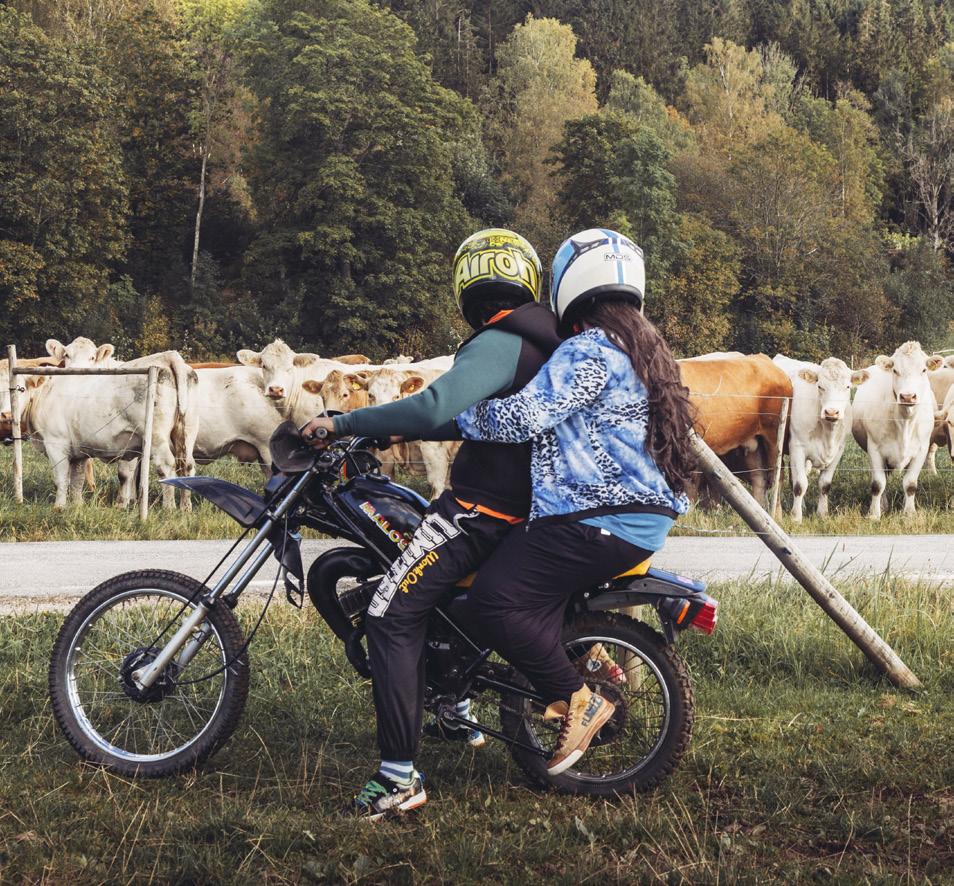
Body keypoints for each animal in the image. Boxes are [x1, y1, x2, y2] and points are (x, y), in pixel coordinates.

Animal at [768, 354, 868, 520]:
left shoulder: (838, 450)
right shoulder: (797, 447)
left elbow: (824, 484)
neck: (827, 433)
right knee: (781, 477)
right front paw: (796, 517)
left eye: (847, 387)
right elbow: (800, 484)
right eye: (820, 386)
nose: (831, 412)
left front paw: (822, 513)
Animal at [852, 342, 940, 520]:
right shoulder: (875, 449)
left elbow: (910, 484)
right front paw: (874, 514)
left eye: (924, 370)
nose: (907, 396)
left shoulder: (921, 450)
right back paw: (884, 505)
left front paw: (910, 513)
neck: (904, 421)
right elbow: (878, 484)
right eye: (895, 370)